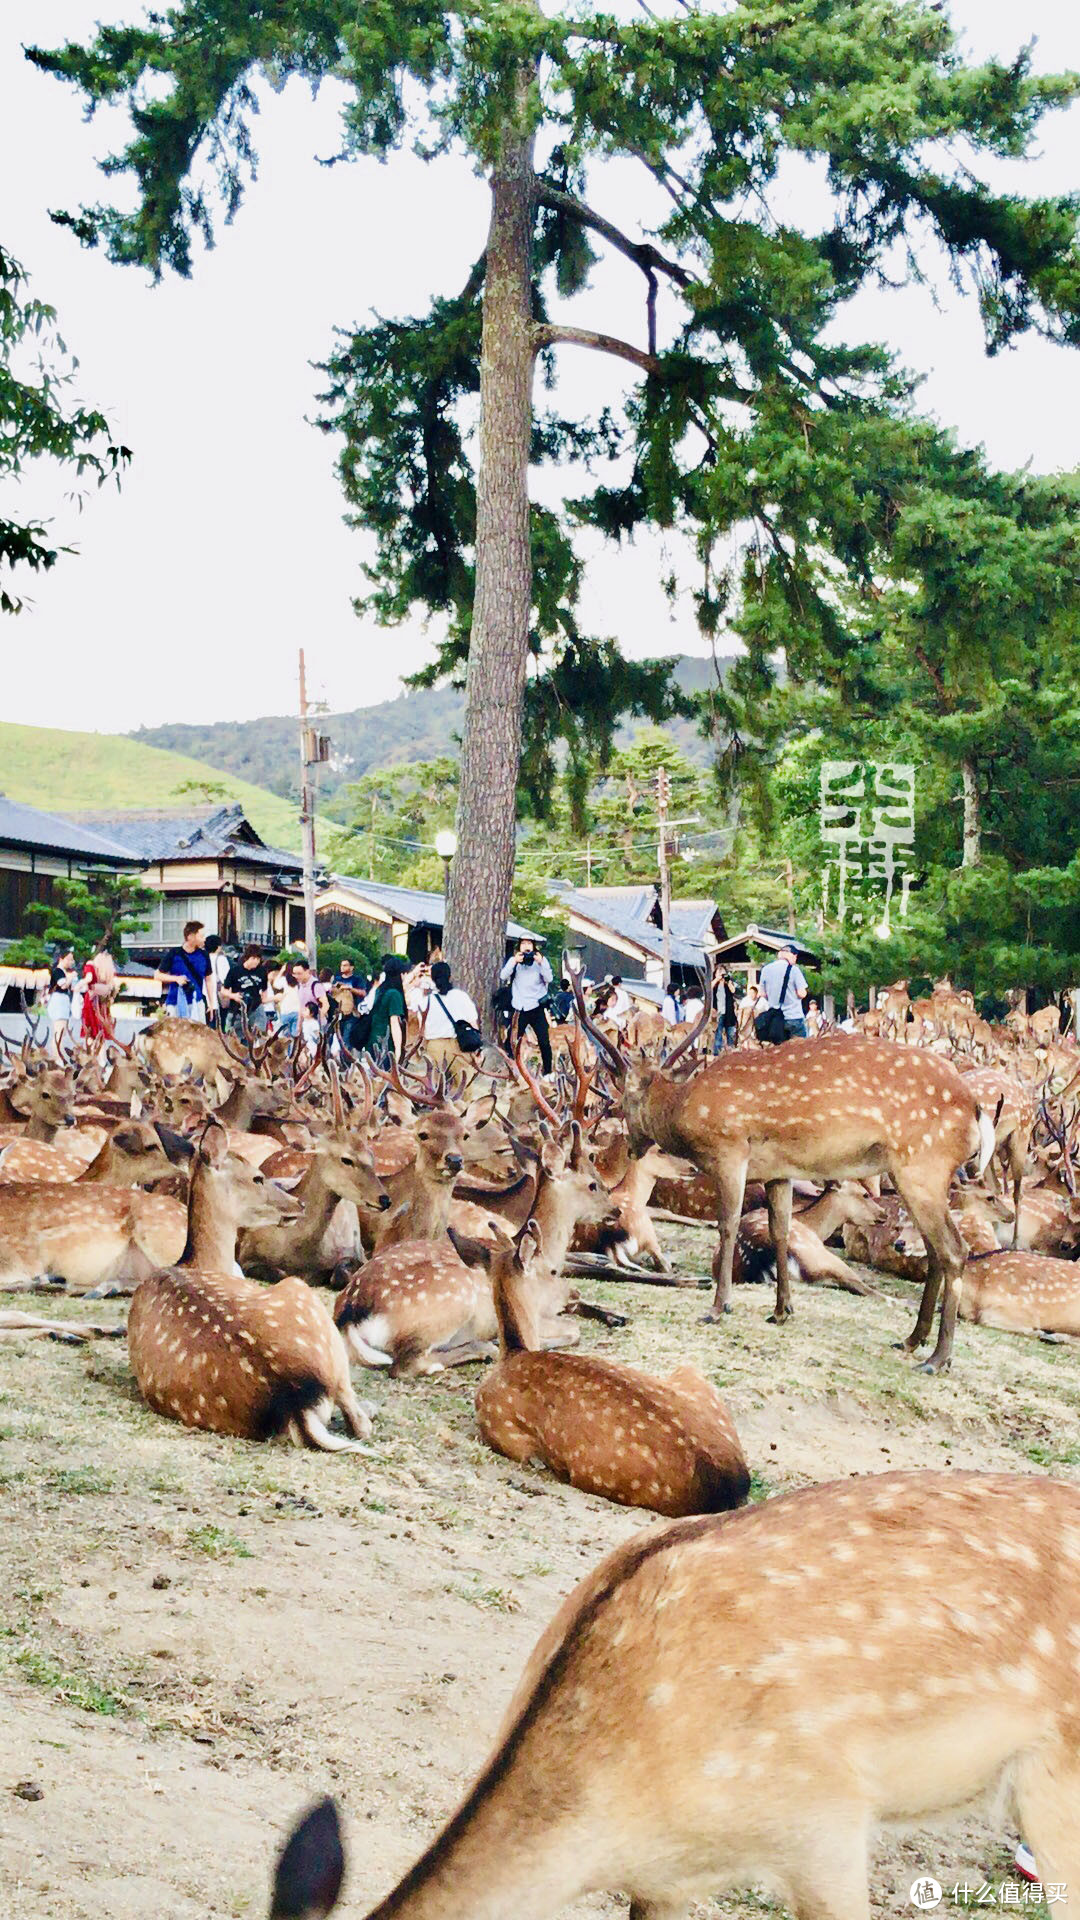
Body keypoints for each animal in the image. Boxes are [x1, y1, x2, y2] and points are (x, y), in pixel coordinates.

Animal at [125, 1121, 367, 1443]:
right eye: (257, 1177)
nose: (298, 1203)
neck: (197, 1262)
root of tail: (296, 1402)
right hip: (306, 1301)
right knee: (360, 1421)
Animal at [474, 1221, 745, 1520]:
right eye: (553, 1271)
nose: (574, 1294)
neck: (514, 1352)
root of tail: (733, 1484)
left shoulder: (498, 1427)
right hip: (690, 1374)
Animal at [572, 983, 991, 1374]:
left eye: (623, 1099)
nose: (632, 1147)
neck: (685, 1112)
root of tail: (977, 1108)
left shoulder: (730, 1150)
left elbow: (727, 1225)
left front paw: (718, 1308)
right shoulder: (778, 1171)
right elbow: (780, 1230)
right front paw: (781, 1310)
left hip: (922, 1162)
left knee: (954, 1250)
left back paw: (937, 1358)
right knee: (935, 1251)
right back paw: (911, 1339)